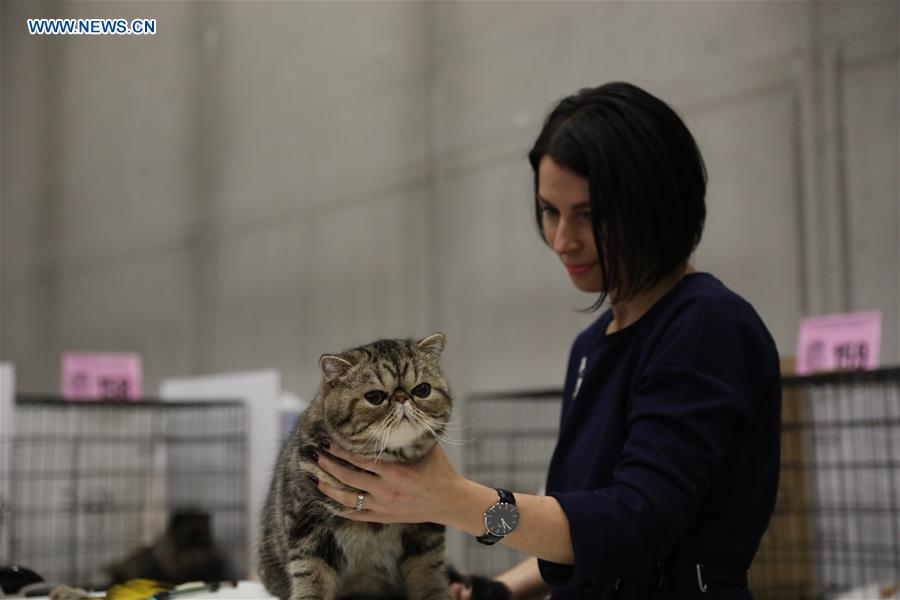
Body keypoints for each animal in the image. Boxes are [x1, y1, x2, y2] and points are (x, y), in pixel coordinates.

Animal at [260, 332, 458, 600]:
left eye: (422, 390)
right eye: (374, 397)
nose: (402, 398)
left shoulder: (426, 526)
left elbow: (428, 572)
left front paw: (436, 594)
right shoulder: (307, 522)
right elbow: (311, 572)